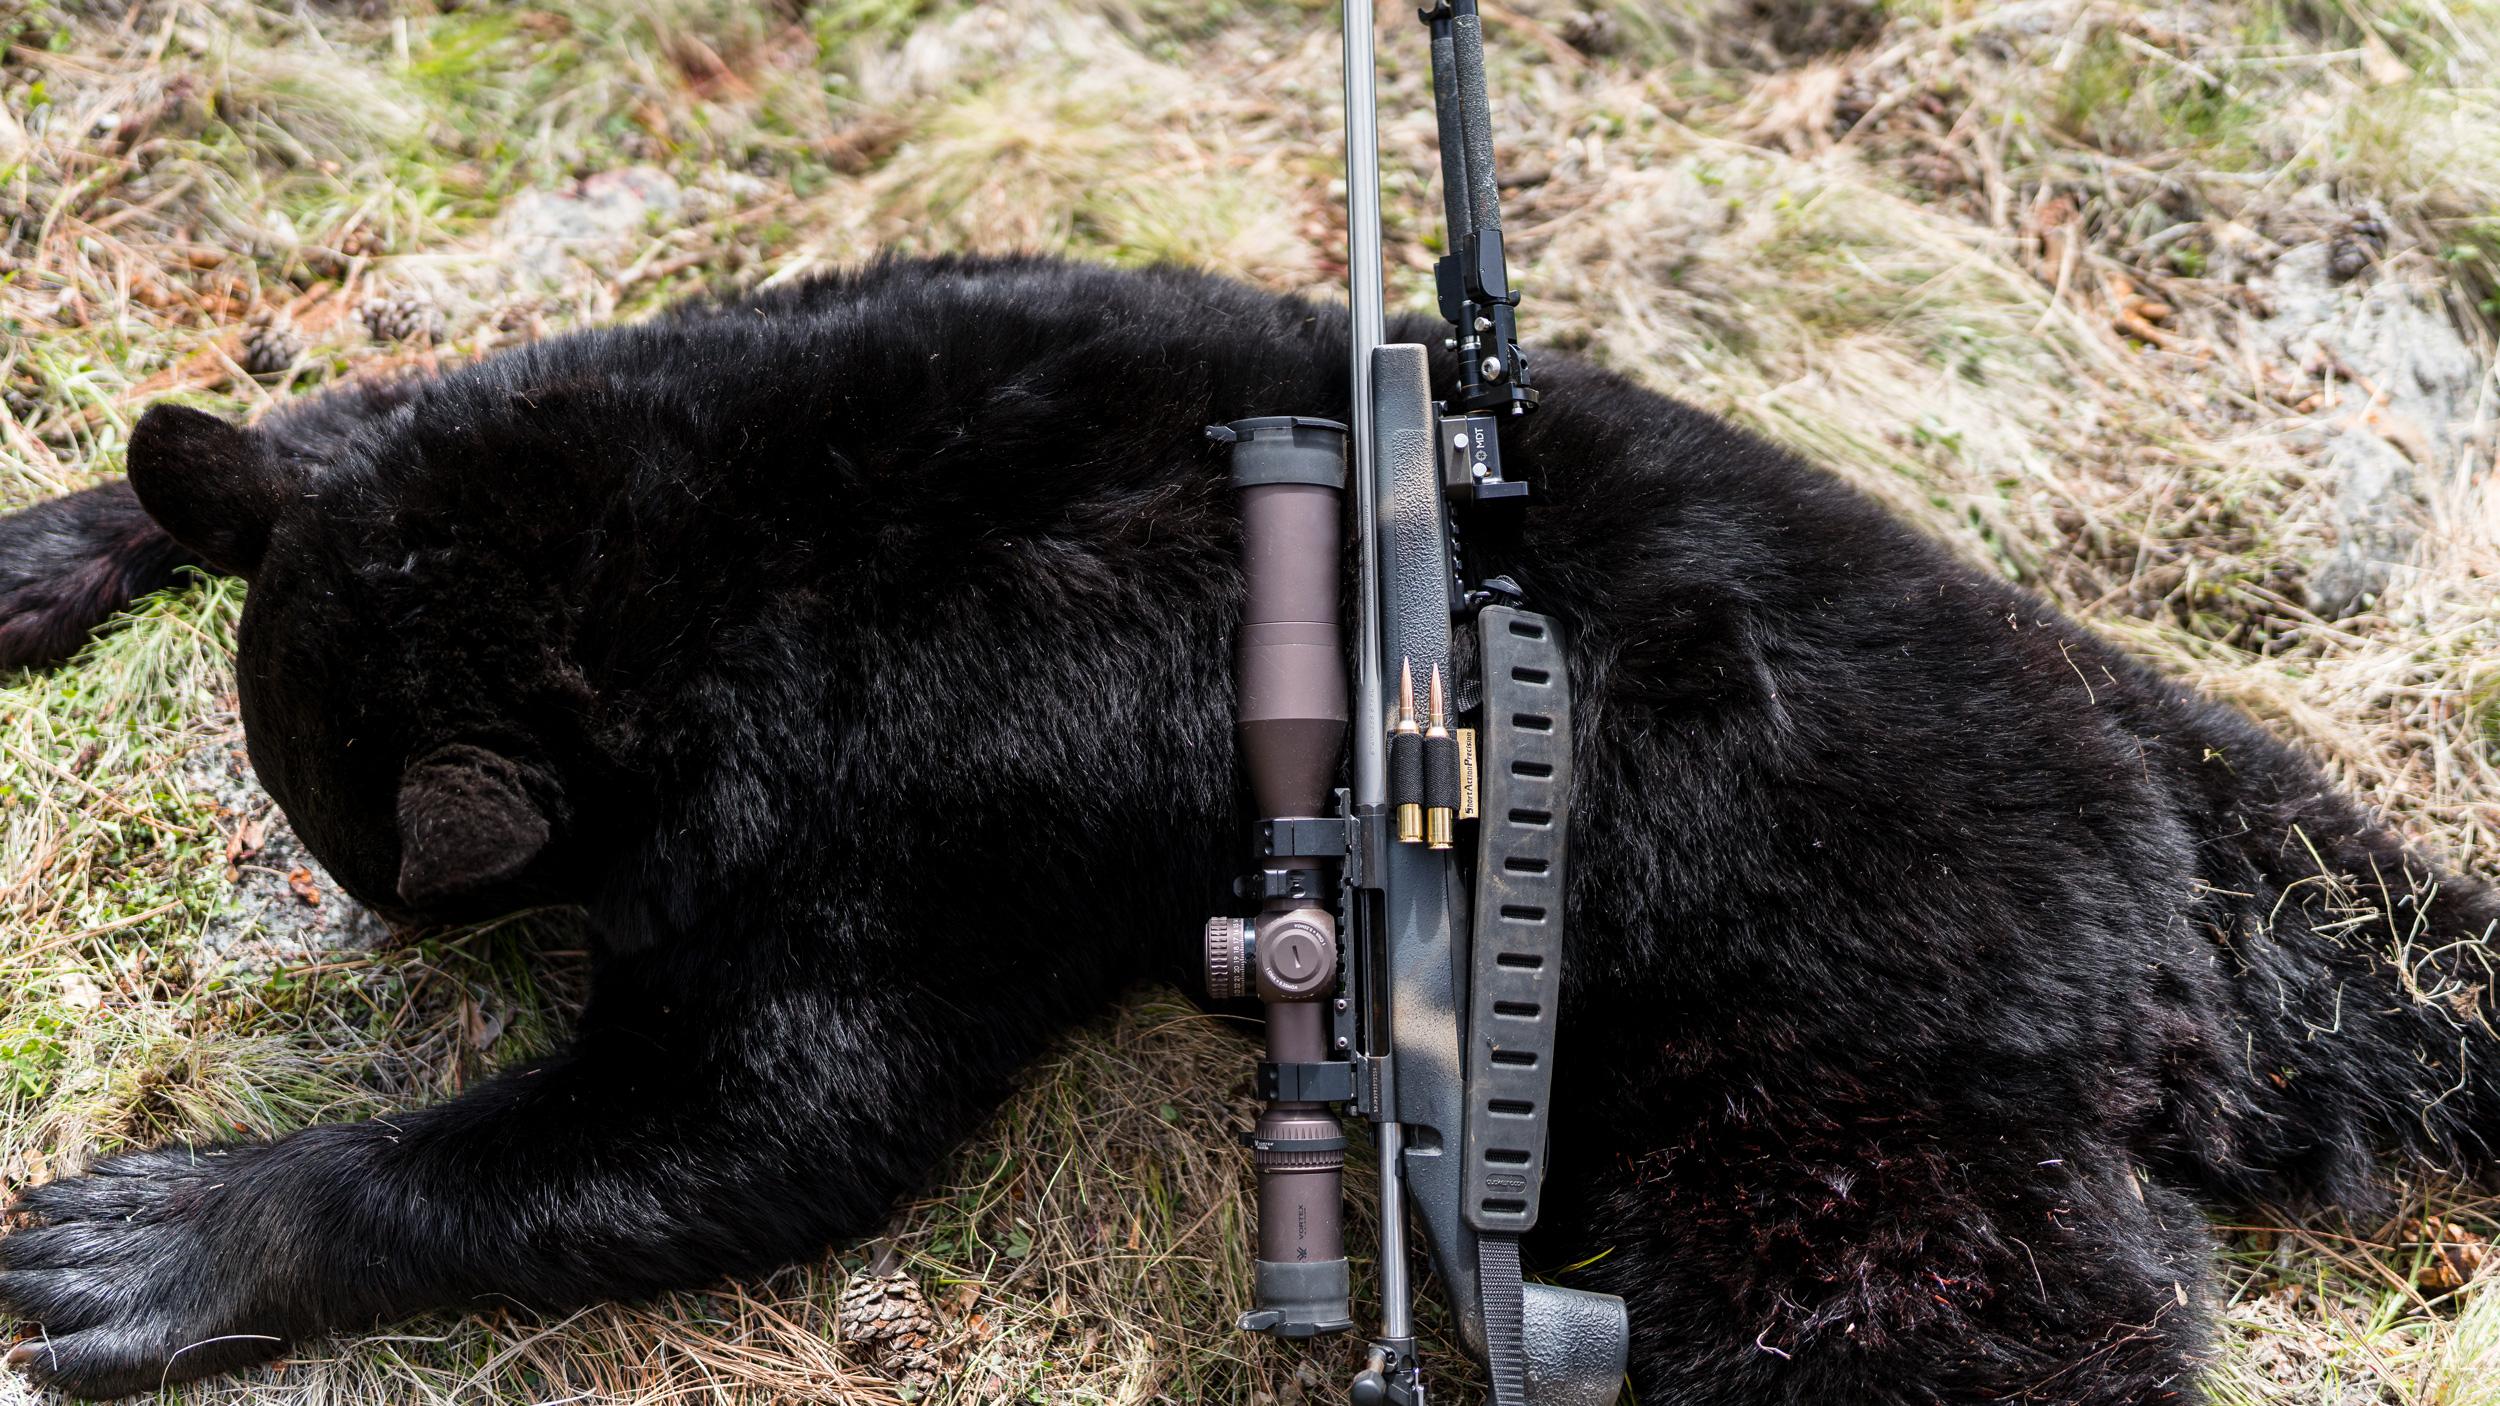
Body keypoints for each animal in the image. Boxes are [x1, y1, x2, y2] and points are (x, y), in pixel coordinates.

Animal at [0, 253, 2493, 1403]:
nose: (356, 896)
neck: (685, 537)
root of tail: (2187, 884)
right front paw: (66, 534)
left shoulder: (884, 789)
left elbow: (753, 1112)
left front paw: (146, 1237)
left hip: (1854, 1048)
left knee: (1921, 1308)